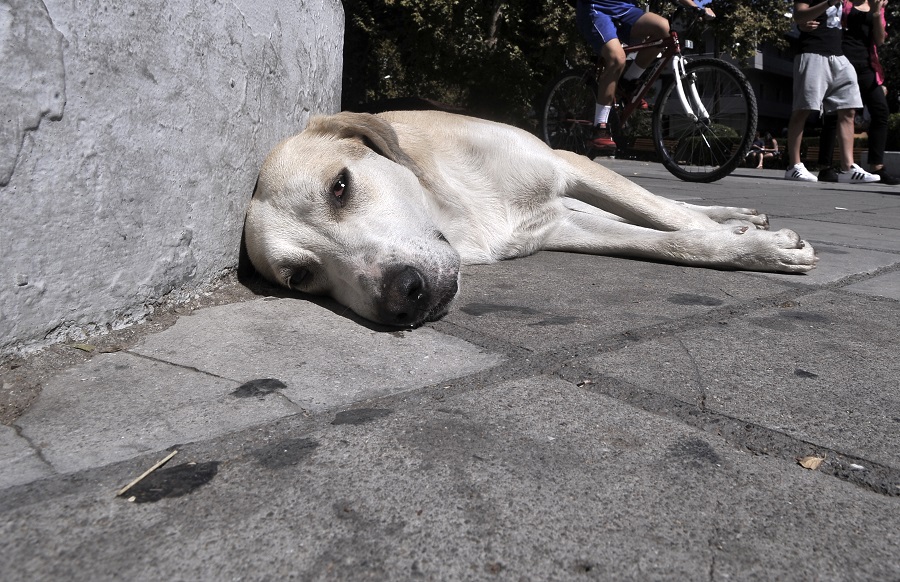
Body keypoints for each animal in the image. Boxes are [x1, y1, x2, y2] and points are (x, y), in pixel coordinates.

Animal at [243, 110, 820, 328]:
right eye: (301, 278)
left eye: (339, 187)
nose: (403, 296)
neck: (456, 211)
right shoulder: (563, 227)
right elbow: (666, 240)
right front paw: (745, 245)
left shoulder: (568, 163)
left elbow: (667, 216)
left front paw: (760, 245)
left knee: (668, 203)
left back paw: (737, 214)